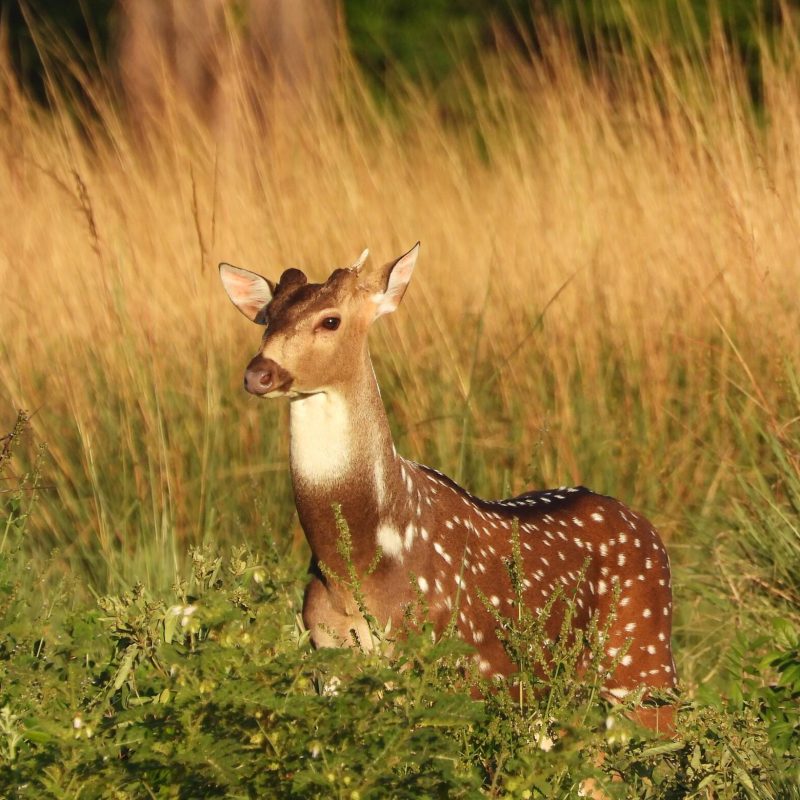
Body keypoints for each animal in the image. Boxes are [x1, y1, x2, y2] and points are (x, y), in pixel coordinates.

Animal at [219, 243, 677, 733]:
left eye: (331, 320)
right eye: (267, 318)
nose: (258, 373)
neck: (355, 568)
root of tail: (648, 528)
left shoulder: (440, 655)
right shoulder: (329, 658)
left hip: (644, 659)